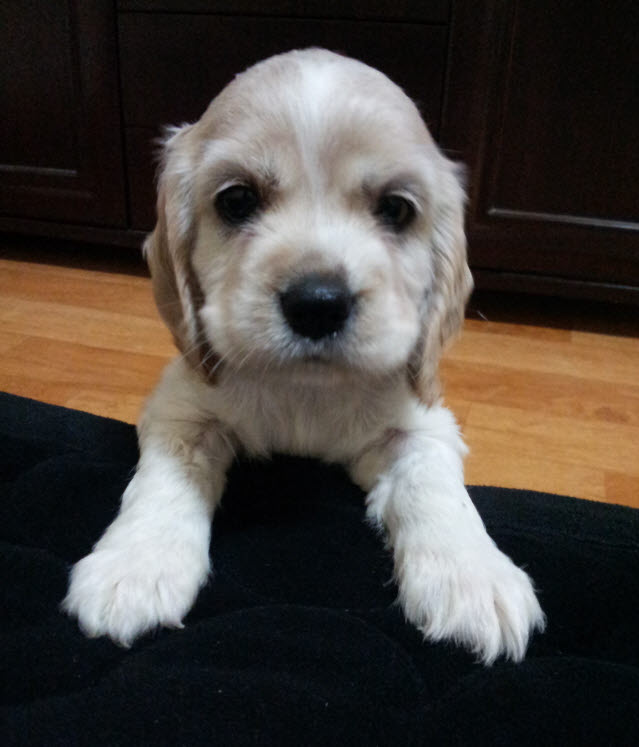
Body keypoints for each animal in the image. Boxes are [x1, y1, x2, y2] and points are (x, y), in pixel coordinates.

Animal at [63, 49, 545, 664]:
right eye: (236, 200)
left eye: (395, 209)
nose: (318, 304)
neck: (305, 392)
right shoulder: (182, 406)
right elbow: (163, 482)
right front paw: (135, 567)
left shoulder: (423, 424)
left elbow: (436, 487)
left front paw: (474, 578)